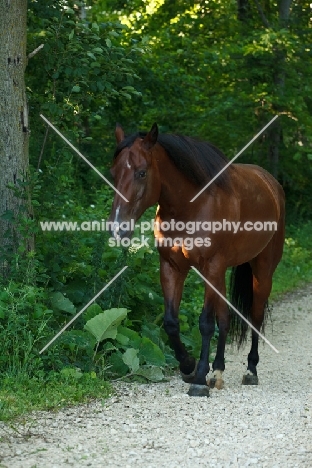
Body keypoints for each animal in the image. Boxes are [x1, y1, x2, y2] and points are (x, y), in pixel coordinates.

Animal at [108, 122, 286, 396]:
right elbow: (172, 322)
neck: (190, 206)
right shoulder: (172, 267)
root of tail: (272, 185)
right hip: (223, 274)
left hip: (262, 270)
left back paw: (250, 371)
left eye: (141, 172)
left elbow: (205, 323)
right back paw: (218, 371)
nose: (118, 229)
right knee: (225, 319)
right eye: (113, 174)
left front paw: (200, 378)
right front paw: (189, 366)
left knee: (255, 317)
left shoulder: (210, 267)